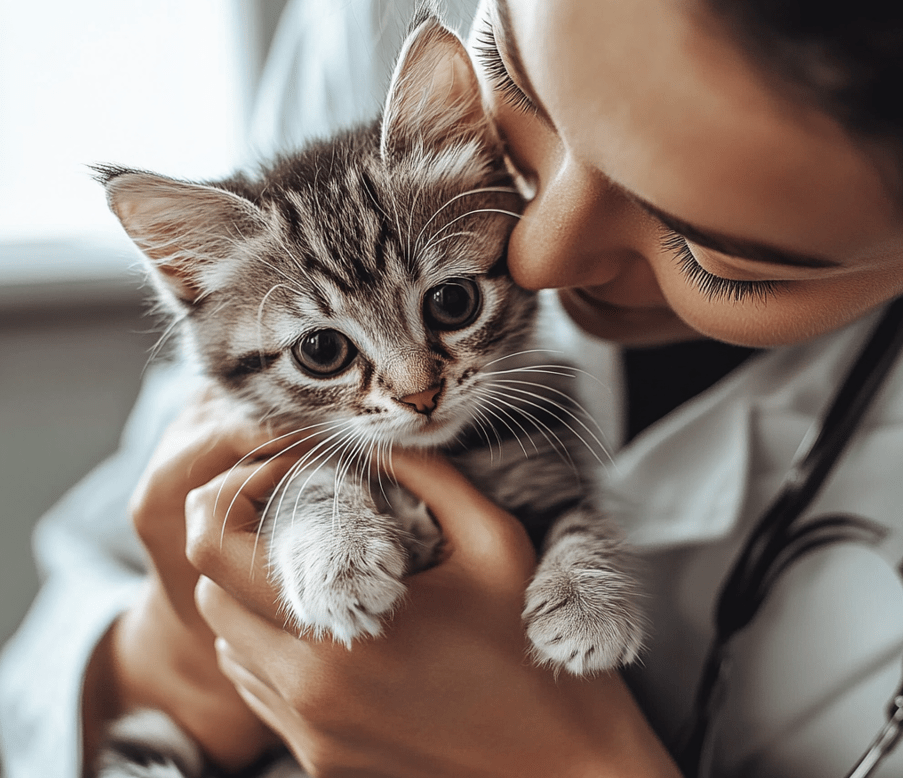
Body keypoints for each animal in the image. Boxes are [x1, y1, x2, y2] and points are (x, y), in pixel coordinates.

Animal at [93, 12, 644, 776]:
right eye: (321, 352)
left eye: (452, 302)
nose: (420, 395)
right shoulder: (259, 451)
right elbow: (307, 472)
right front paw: (339, 556)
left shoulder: (548, 454)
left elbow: (584, 516)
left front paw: (587, 600)